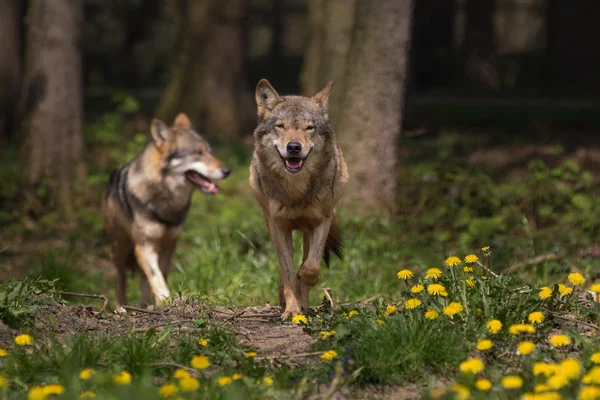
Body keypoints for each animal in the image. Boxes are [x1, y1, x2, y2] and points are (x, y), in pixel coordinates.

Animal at [103, 114, 230, 308]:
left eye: (209, 151)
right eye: (198, 153)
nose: (227, 171)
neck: (167, 201)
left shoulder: (169, 245)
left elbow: (160, 276)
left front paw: (163, 303)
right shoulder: (145, 246)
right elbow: (156, 276)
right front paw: (165, 301)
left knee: (143, 280)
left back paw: (145, 306)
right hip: (119, 249)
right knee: (120, 279)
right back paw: (121, 308)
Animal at [248, 79, 350, 318]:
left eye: (309, 127)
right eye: (281, 126)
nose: (294, 147)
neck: (296, 190)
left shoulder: (321, 221)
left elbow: (311, 267)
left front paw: (305, 281)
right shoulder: (279, 226)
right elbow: (287, 272)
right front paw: (292, 309)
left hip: (311, 226)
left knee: (307, 258)